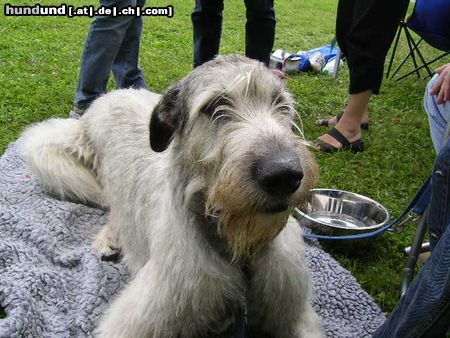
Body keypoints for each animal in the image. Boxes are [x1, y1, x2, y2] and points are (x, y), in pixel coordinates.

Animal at [18, 54, 324, 336]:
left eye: (280, 104)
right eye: (214, 107)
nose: (284, 175)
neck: (237, 250)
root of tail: (106, 98)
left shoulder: (295, 313)